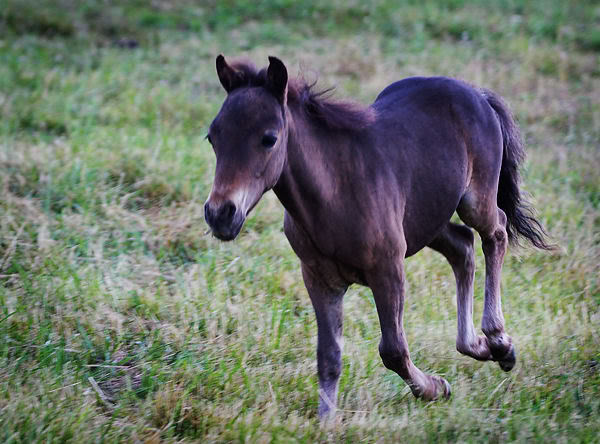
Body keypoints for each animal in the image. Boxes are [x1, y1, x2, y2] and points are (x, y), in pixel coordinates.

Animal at [204, 55, 552, 416]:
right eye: (212, 138)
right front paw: (327, 422)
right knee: (462, 246)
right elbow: (328, 357)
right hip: (427, 217)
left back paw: (499, 341)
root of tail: (475, 93)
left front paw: (436, 388)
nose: (220, 213)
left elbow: (393, 350)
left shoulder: (388, 268)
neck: (336, 193)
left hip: (474, 200)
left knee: (494, 232)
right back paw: (476, 345)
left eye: (269, 138)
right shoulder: (318, 278)